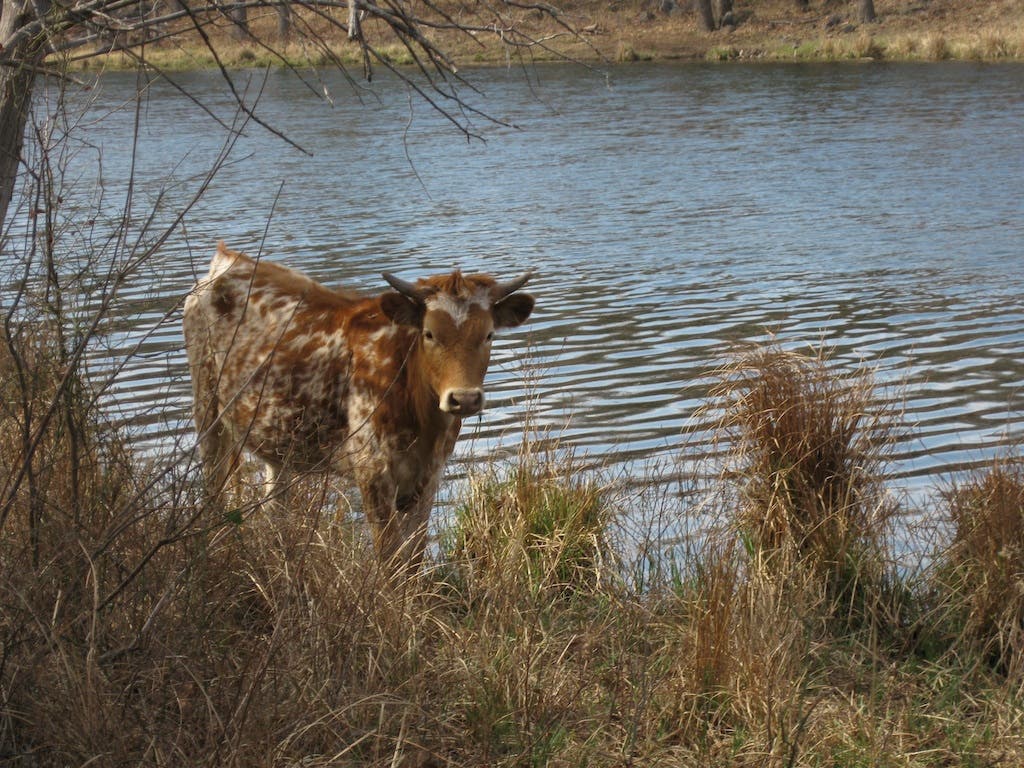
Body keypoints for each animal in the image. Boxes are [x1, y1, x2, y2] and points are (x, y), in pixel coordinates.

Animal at [183, 242, 535, 572]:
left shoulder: (428, 477)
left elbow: (413, 557)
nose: (465, 398)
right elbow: (389, 558)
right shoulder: (373, 473)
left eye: (488, 334)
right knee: (214, 489)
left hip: (276, 438)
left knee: (275, 509)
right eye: (429, 333)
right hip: (208, 410)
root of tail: (228, 260)